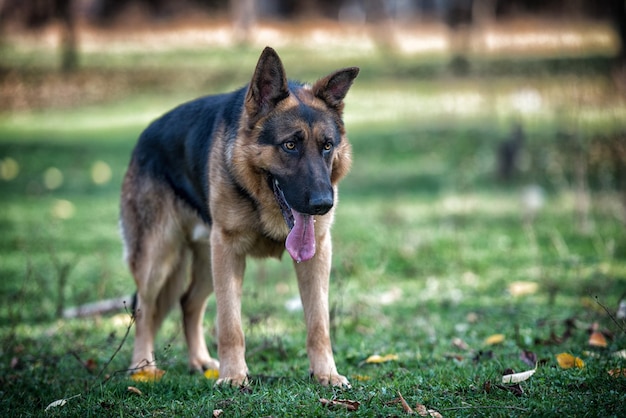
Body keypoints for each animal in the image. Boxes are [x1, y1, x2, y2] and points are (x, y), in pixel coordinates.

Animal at [120, 47, 358, 386]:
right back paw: (143, 367)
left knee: (188, 303)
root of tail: (144, 136)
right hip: (161, 258)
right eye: (290, 145)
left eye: (327, 146)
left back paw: (200, 361)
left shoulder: (317, 253)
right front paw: (233, 376)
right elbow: (230, 323)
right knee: (144, 309)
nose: (323, 204)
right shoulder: (229, 251)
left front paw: (326, 373)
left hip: (206, 261)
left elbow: (319, 324)